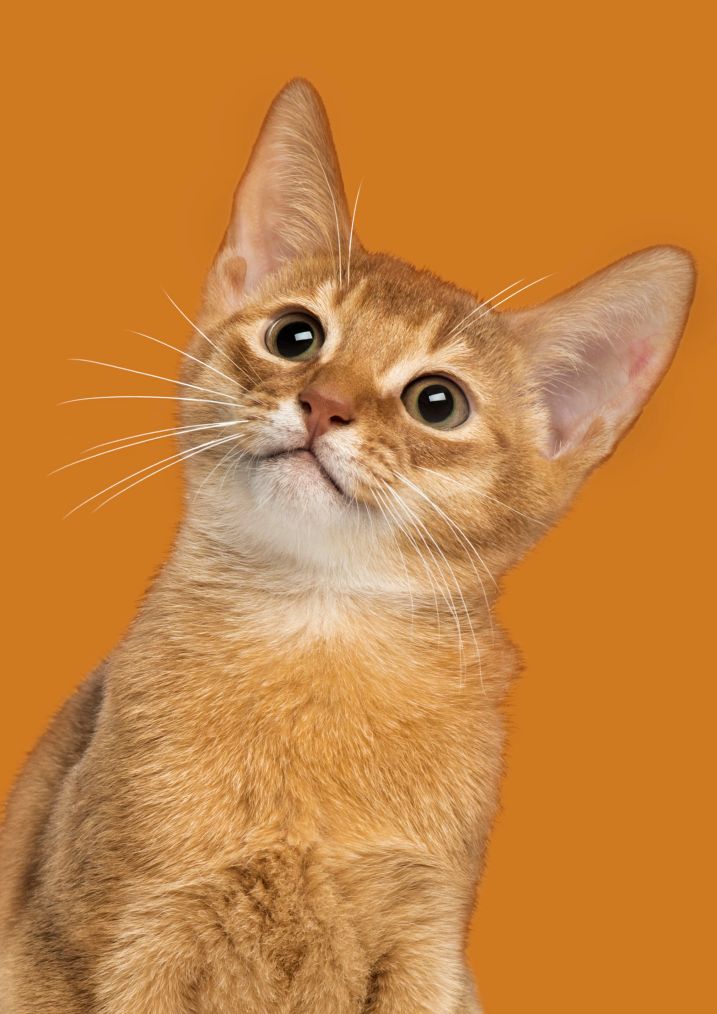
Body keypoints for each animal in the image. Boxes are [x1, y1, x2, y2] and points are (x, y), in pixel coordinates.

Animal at [0, 81, 693, 1014]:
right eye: (296, 335)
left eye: (438, 402)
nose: (324, 404)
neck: (316, 642)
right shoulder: (92, 942)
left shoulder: (426, 950)